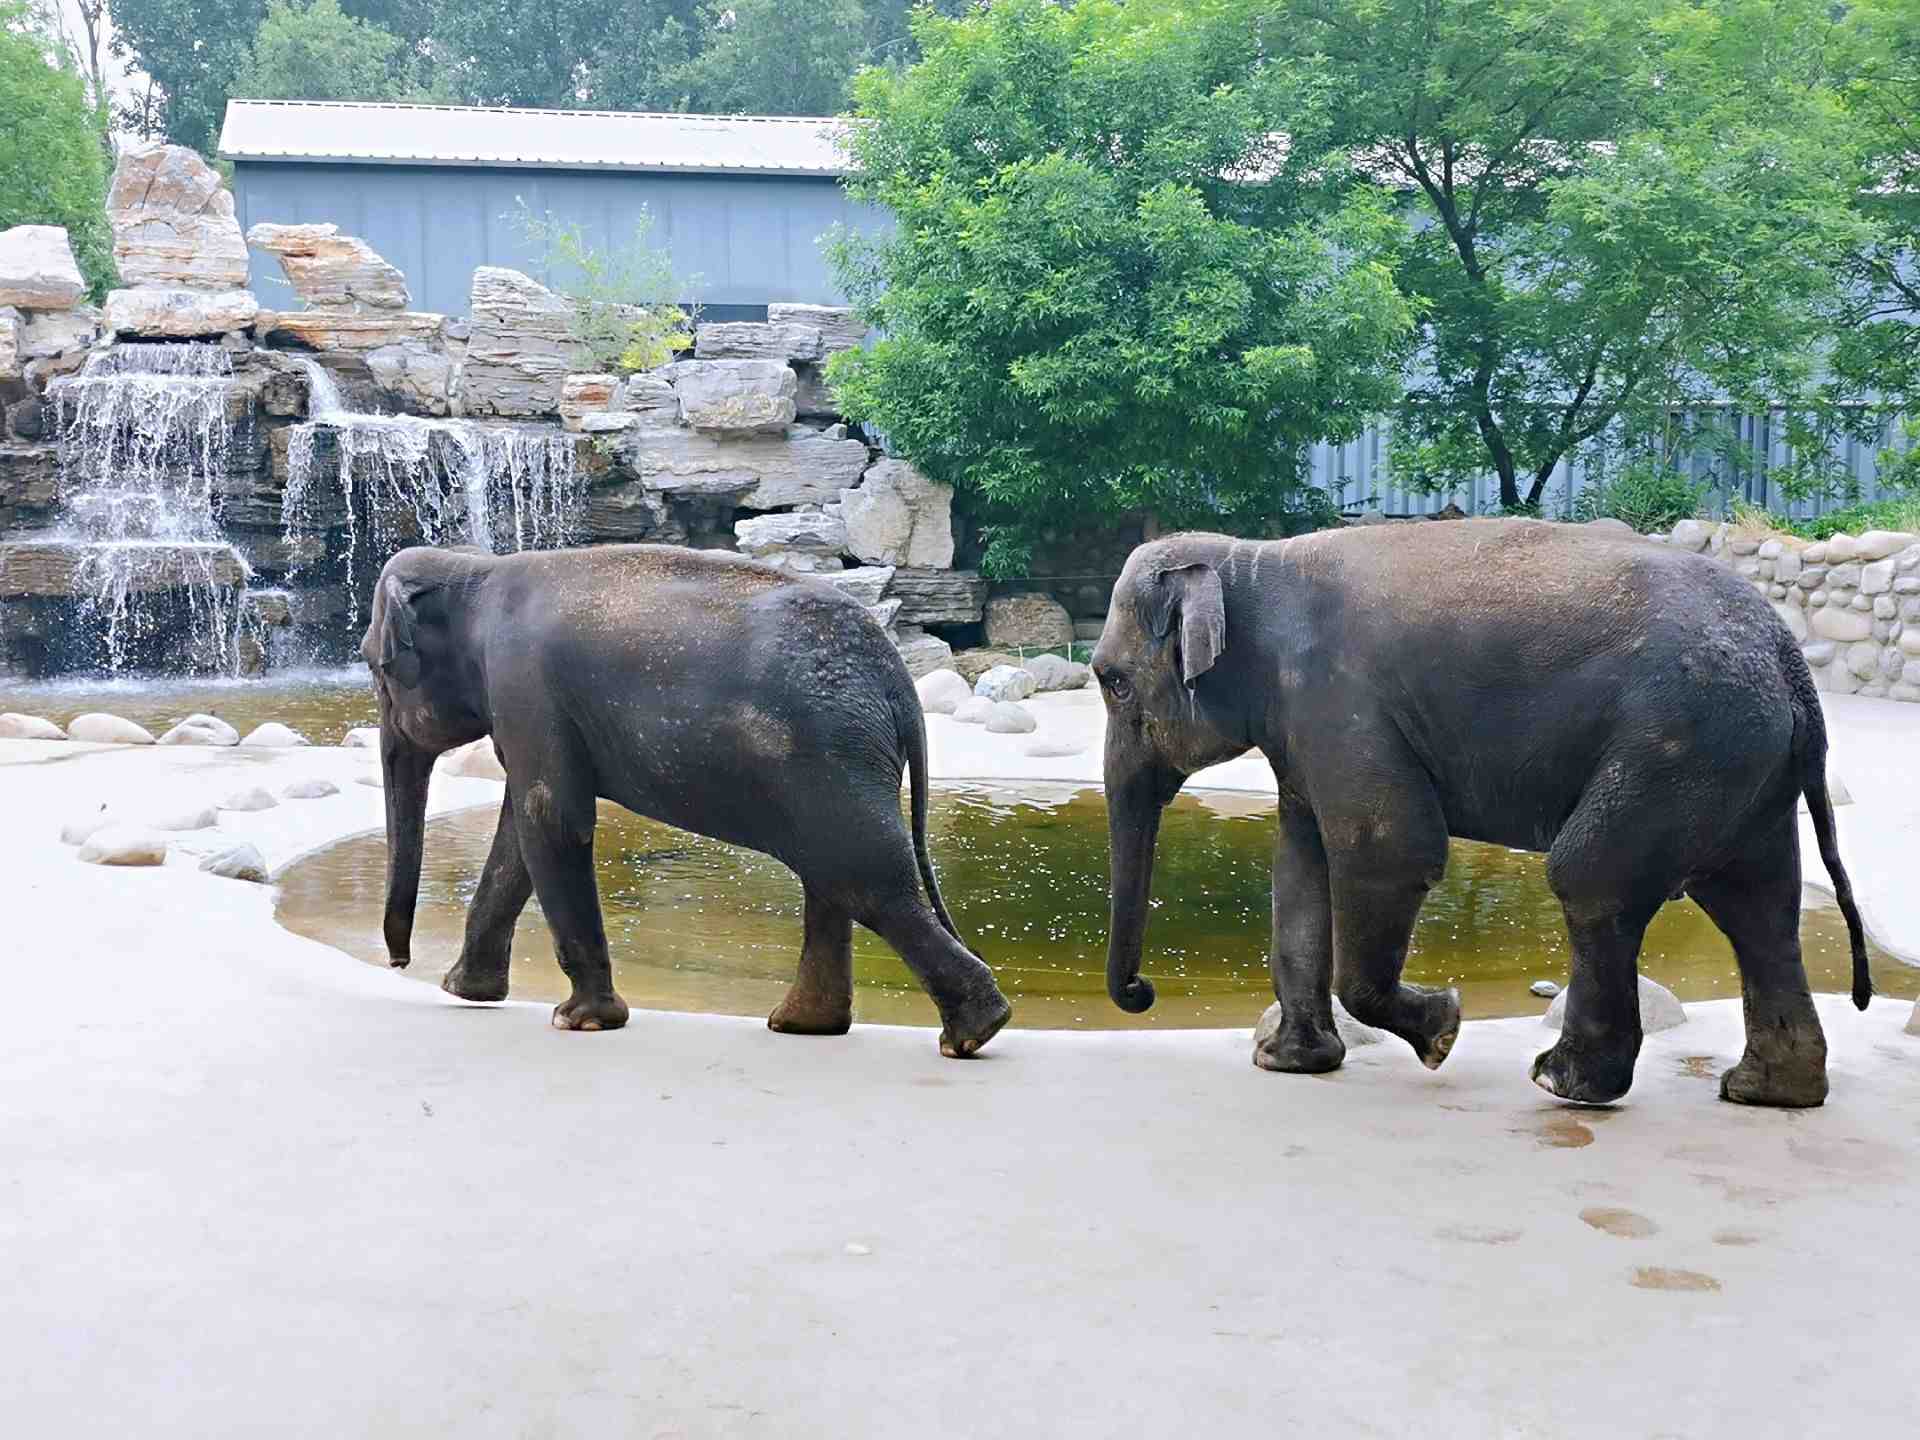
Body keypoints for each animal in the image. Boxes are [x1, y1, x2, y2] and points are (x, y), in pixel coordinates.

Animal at [364, 541, 1013, 1059]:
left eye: (376, 669)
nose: (398, 963)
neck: (478, 569)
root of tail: (899, 682)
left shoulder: (524, 686)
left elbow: (552, 821)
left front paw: (580, 1022)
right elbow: (523, 833)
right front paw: (464, 993)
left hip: (827, 753)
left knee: (863, 877)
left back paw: (972, 1033)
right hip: (832, 760)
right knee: (831, 877)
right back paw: (804, 1026)